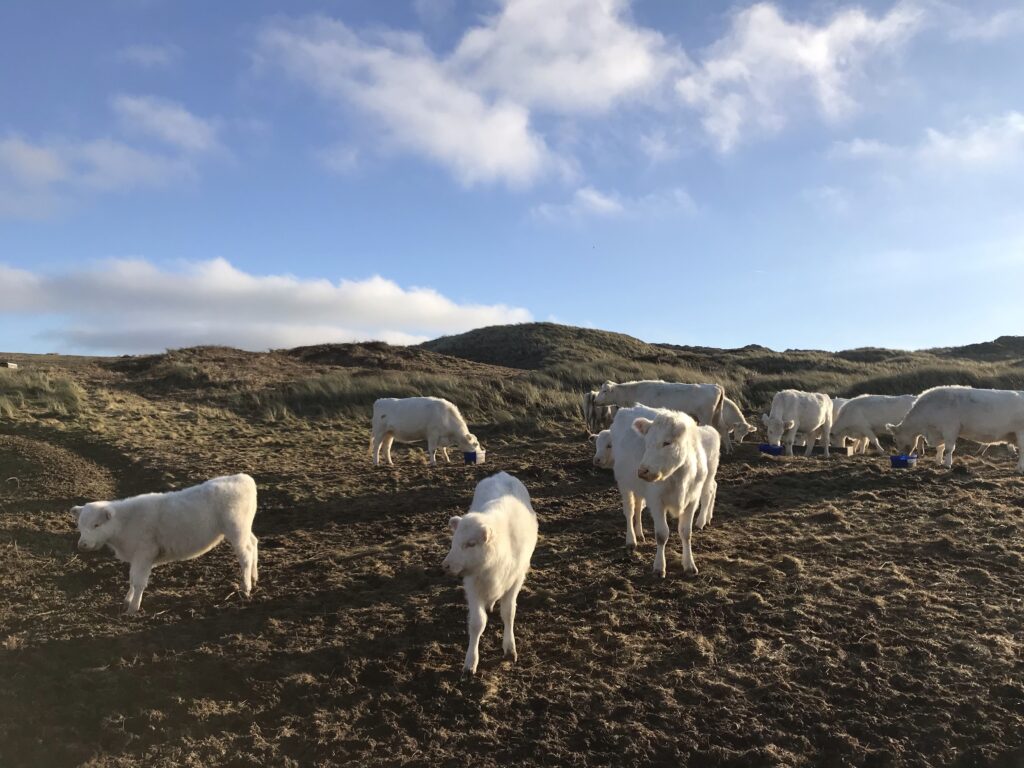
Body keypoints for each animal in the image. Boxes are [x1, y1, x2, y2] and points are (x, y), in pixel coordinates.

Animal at [442, 473, 540, 675]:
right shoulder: (472, 585)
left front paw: (510, 649)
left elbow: (508, 612)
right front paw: (470, 662)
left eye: (471, 544)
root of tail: (502, 474)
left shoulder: (516, 579)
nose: (445, 566)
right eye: (453, 541)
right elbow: (477, 622)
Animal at [630, 409, 712, 577]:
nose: (642, 471)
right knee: (632, 509)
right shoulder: (656, 500)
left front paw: (689, 564)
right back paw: (634, 537)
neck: (680, 476)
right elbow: (662, 534)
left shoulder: (692, 500)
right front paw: (659, 566)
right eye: (647, 442)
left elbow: (686, 532)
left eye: (667, 443)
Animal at [884, 387, 1024, 473]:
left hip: (1021, 433)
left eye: (895, 439)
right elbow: (940, 448)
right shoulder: (940, 432)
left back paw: (1019, 469)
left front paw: (947, 464)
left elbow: (949, 448)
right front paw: (938, 461)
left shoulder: (950, 429)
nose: (902, 455)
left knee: (1022, 451)